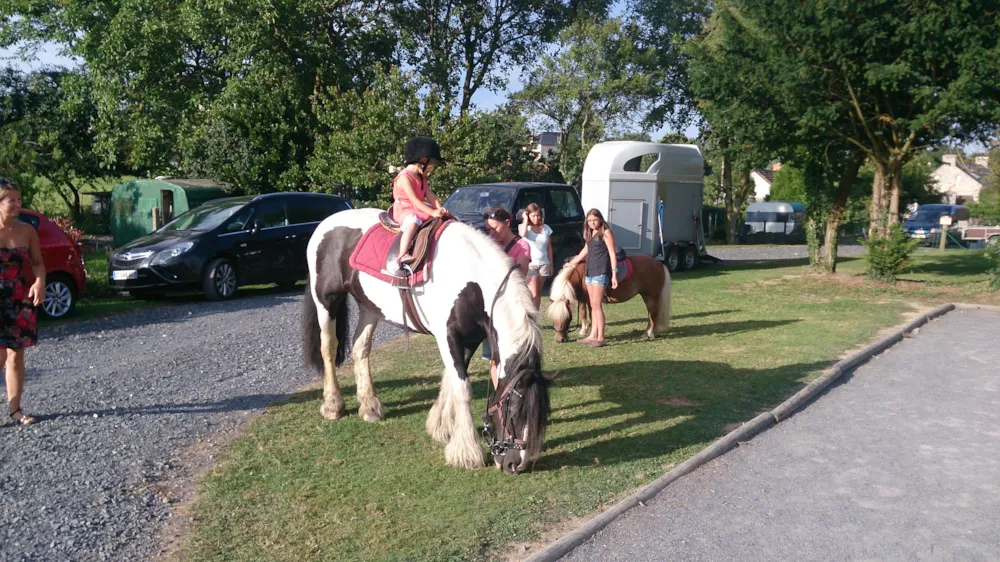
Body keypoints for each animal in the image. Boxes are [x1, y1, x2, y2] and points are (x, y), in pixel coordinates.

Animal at [300, 208, 552, 470]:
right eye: (514, 409)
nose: (516, 465)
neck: (471, 281)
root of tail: (326, 223)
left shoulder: (469, 339)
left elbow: (451, 379)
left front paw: (440, 426)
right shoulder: (448, 336)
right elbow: (462, 387)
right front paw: (466, 452)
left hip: (369, 306)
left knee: (361, 348)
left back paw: (369, 406)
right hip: (326, 300)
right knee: (328, 348)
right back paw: (333, 404)